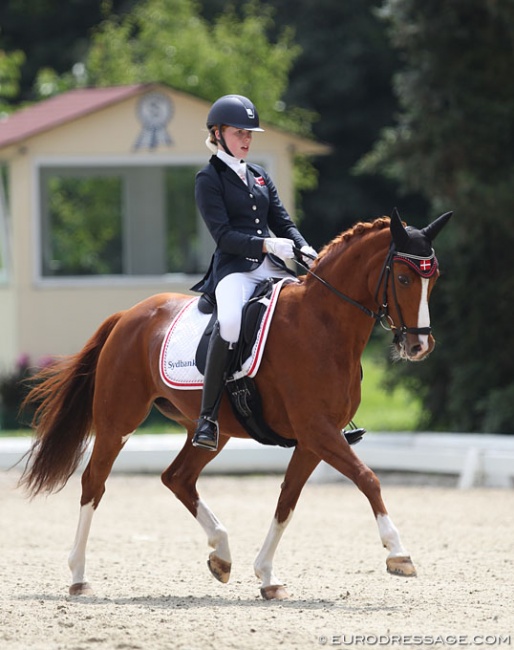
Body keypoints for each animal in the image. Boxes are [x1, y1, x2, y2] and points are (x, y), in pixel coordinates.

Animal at [20, 208, 448, 596]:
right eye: (404, 277)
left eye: (435, 278)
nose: (420, 346)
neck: (323, 324)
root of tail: (128, 315)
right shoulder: (318, 431)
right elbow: (367, 478)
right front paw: (399, 554)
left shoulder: (313, 440)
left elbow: (287, 501)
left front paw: (267, 576)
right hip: (118, 421)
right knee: (94, 482)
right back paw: (78, 577)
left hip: (212, 429)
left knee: (177, 477)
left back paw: (221, 554)